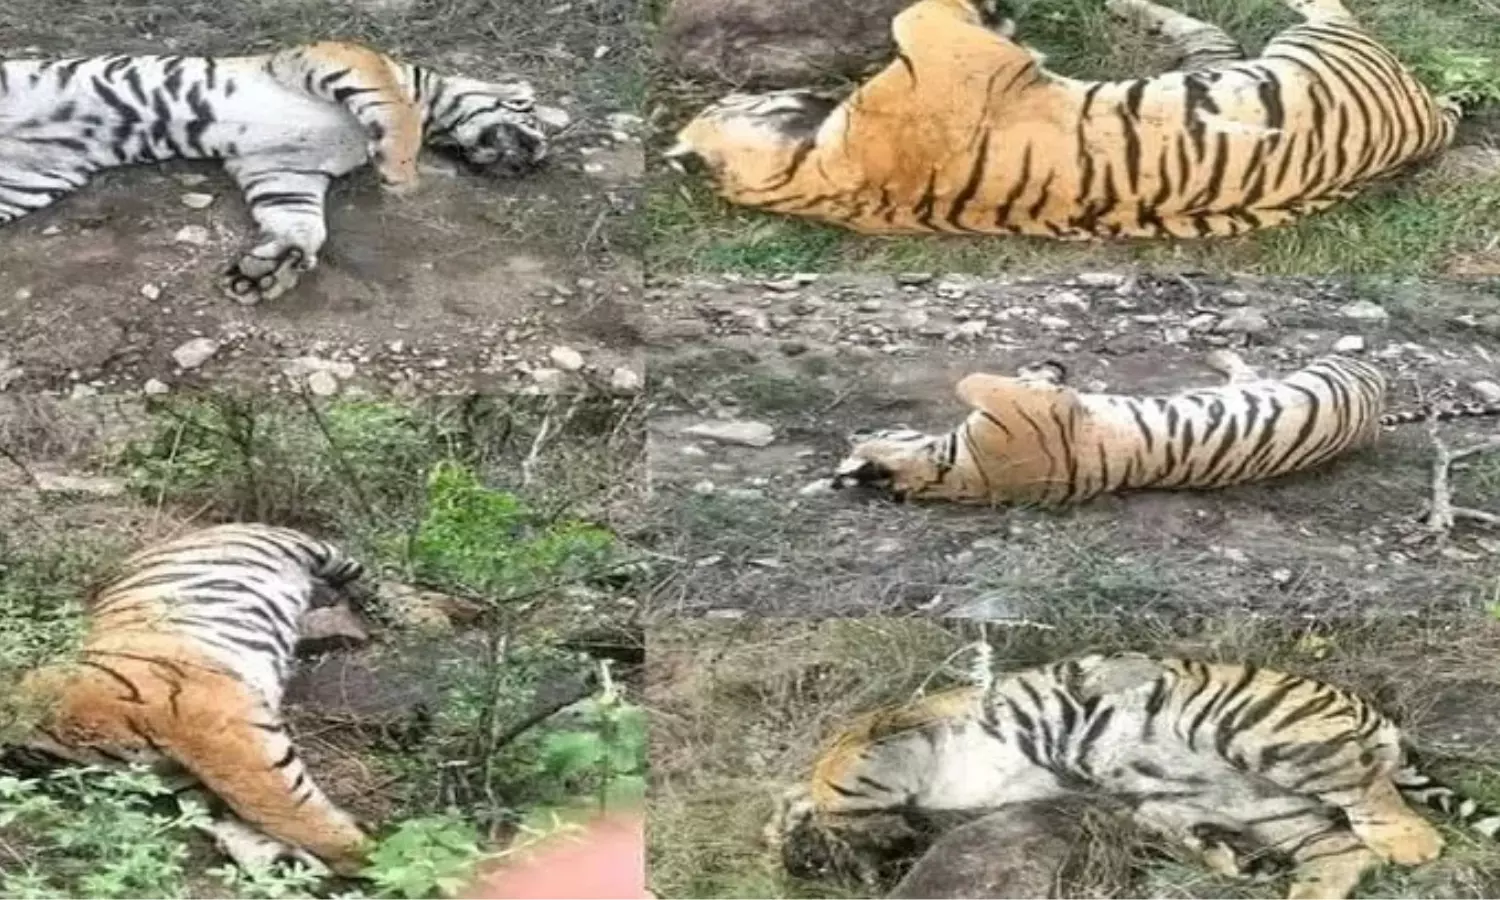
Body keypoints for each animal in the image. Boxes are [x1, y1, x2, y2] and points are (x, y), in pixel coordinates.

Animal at [0, 42, 549, 304]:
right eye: (533, 118)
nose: (533, 159)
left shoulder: (282, 167)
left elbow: (300, 222)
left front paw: (268, 270)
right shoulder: (337, 58)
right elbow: (394, 108)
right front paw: (400, 172)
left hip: (24, 184)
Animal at [1, 523, 372, 876]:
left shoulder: (216, 729)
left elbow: (280, 806)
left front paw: (366, 857)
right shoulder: (185, 771)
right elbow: (234, 820)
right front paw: (286, 866)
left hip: (303, 547)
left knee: (352, 566)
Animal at [665, 0, 1460, 239]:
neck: (811, 174)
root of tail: (1426, 121)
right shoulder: (945, 44)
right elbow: (919, 11)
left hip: (1228, 58)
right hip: (1315, 46)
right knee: (1322, 4)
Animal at [768, 651, 1500, 900]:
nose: (797, 865)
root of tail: (1369, 710)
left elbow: (842, 759)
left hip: (1259, 733)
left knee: (1366, 789)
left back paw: (1412, 843)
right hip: (1257, 803)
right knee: (1342, 850)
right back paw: (1269, 877)